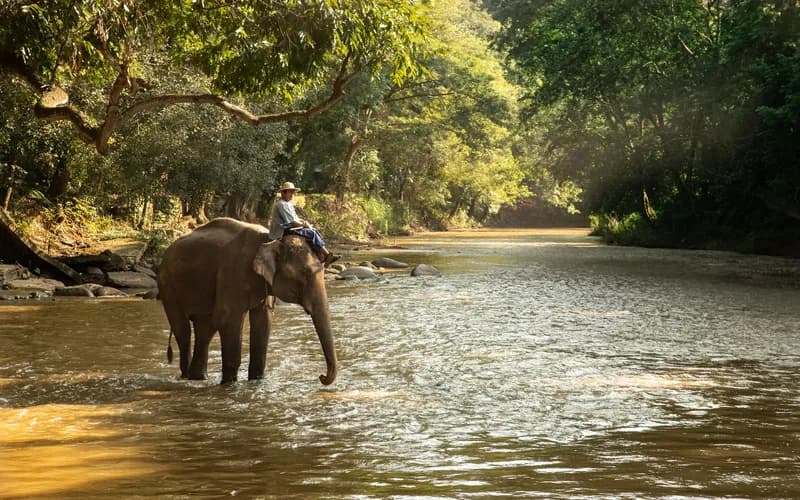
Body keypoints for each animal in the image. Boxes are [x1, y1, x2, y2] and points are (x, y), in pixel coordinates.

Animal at [156, 217, 338, 385]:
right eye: (304, 275)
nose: (321, 376)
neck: (269, 241)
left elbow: (263, 320)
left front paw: (256, 381)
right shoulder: (234, 271)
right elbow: (227, 318)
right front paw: (229, 384)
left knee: (205, 328)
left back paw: (197, 378)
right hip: (168, 286)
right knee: (183, 330)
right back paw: (186, 377)